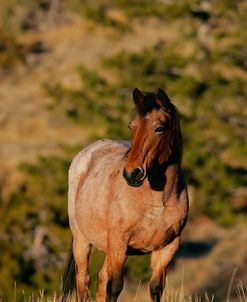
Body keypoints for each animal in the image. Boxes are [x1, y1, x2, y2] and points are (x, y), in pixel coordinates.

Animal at [62, 88, 189, 302]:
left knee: (100, 279)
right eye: (132, 126)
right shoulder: (119, 243)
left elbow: (155, 288)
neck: (157, 202)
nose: (132, 174)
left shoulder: (168, 247)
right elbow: (114, 287)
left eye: (159, 128)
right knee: (83, 281)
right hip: (82, 240)